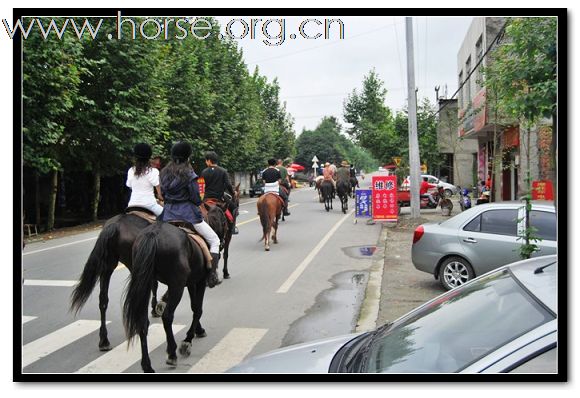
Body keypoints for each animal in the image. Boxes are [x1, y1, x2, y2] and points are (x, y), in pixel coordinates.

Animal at [71, 213, 164, 350]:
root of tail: (114, 226)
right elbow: (154, 285)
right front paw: (154, 309)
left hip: (108, 266)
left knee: (103, 300)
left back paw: (104, 340)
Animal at [122, 224, 213, 374]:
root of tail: (153, 233)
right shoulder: (199, 280)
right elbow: (198, 309)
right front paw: (188, 340)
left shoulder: (190, 282)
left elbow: (194, 306)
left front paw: (198, 331)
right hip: (177, 285)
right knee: (167, 316)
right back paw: (171, 354)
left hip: (146, 283)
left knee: (142, 321)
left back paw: (147, 365)